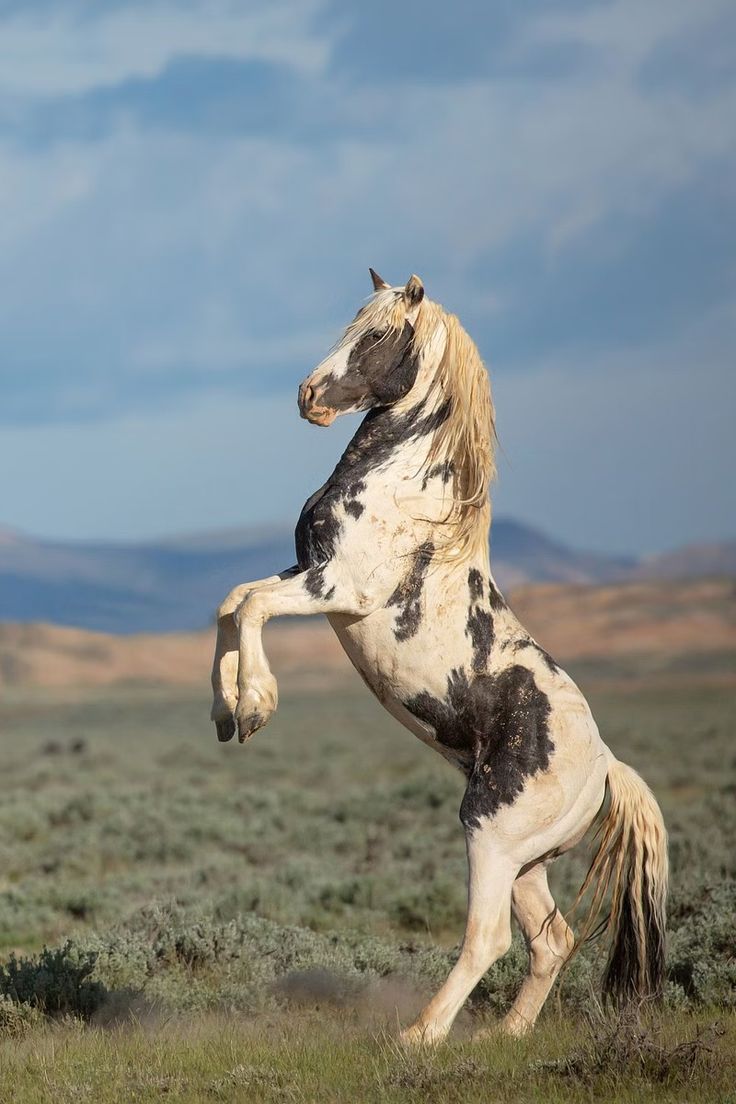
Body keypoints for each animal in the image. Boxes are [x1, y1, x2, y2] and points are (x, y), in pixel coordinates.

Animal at [208, 267, 666, 1042]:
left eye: (377, 335)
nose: (308, 396)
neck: (407, 490)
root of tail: (605, 767)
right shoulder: (307, 571)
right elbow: (232, 601)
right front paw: (224, 711)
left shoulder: (337, 587)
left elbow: (251, 608)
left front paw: (256, 707)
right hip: (524, 860)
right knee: (552, 939)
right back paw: (505, 1036)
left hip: (489, 837)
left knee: (490, 938)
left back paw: (419, 1037)